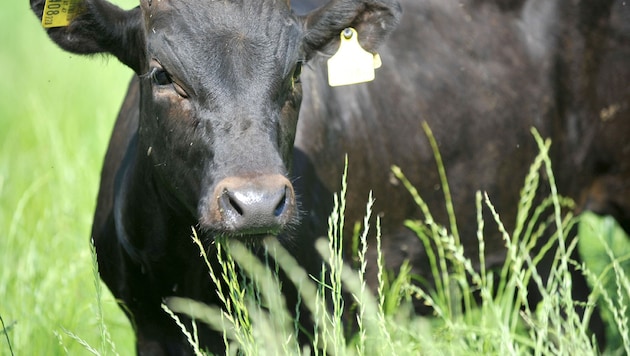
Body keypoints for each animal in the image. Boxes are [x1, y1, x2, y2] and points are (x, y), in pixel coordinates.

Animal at [30, 0, 630, 354]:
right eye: (161, 75)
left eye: (296, 72)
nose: (256, 201)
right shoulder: (153, 324)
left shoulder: (335, 308)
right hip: (543, 241)